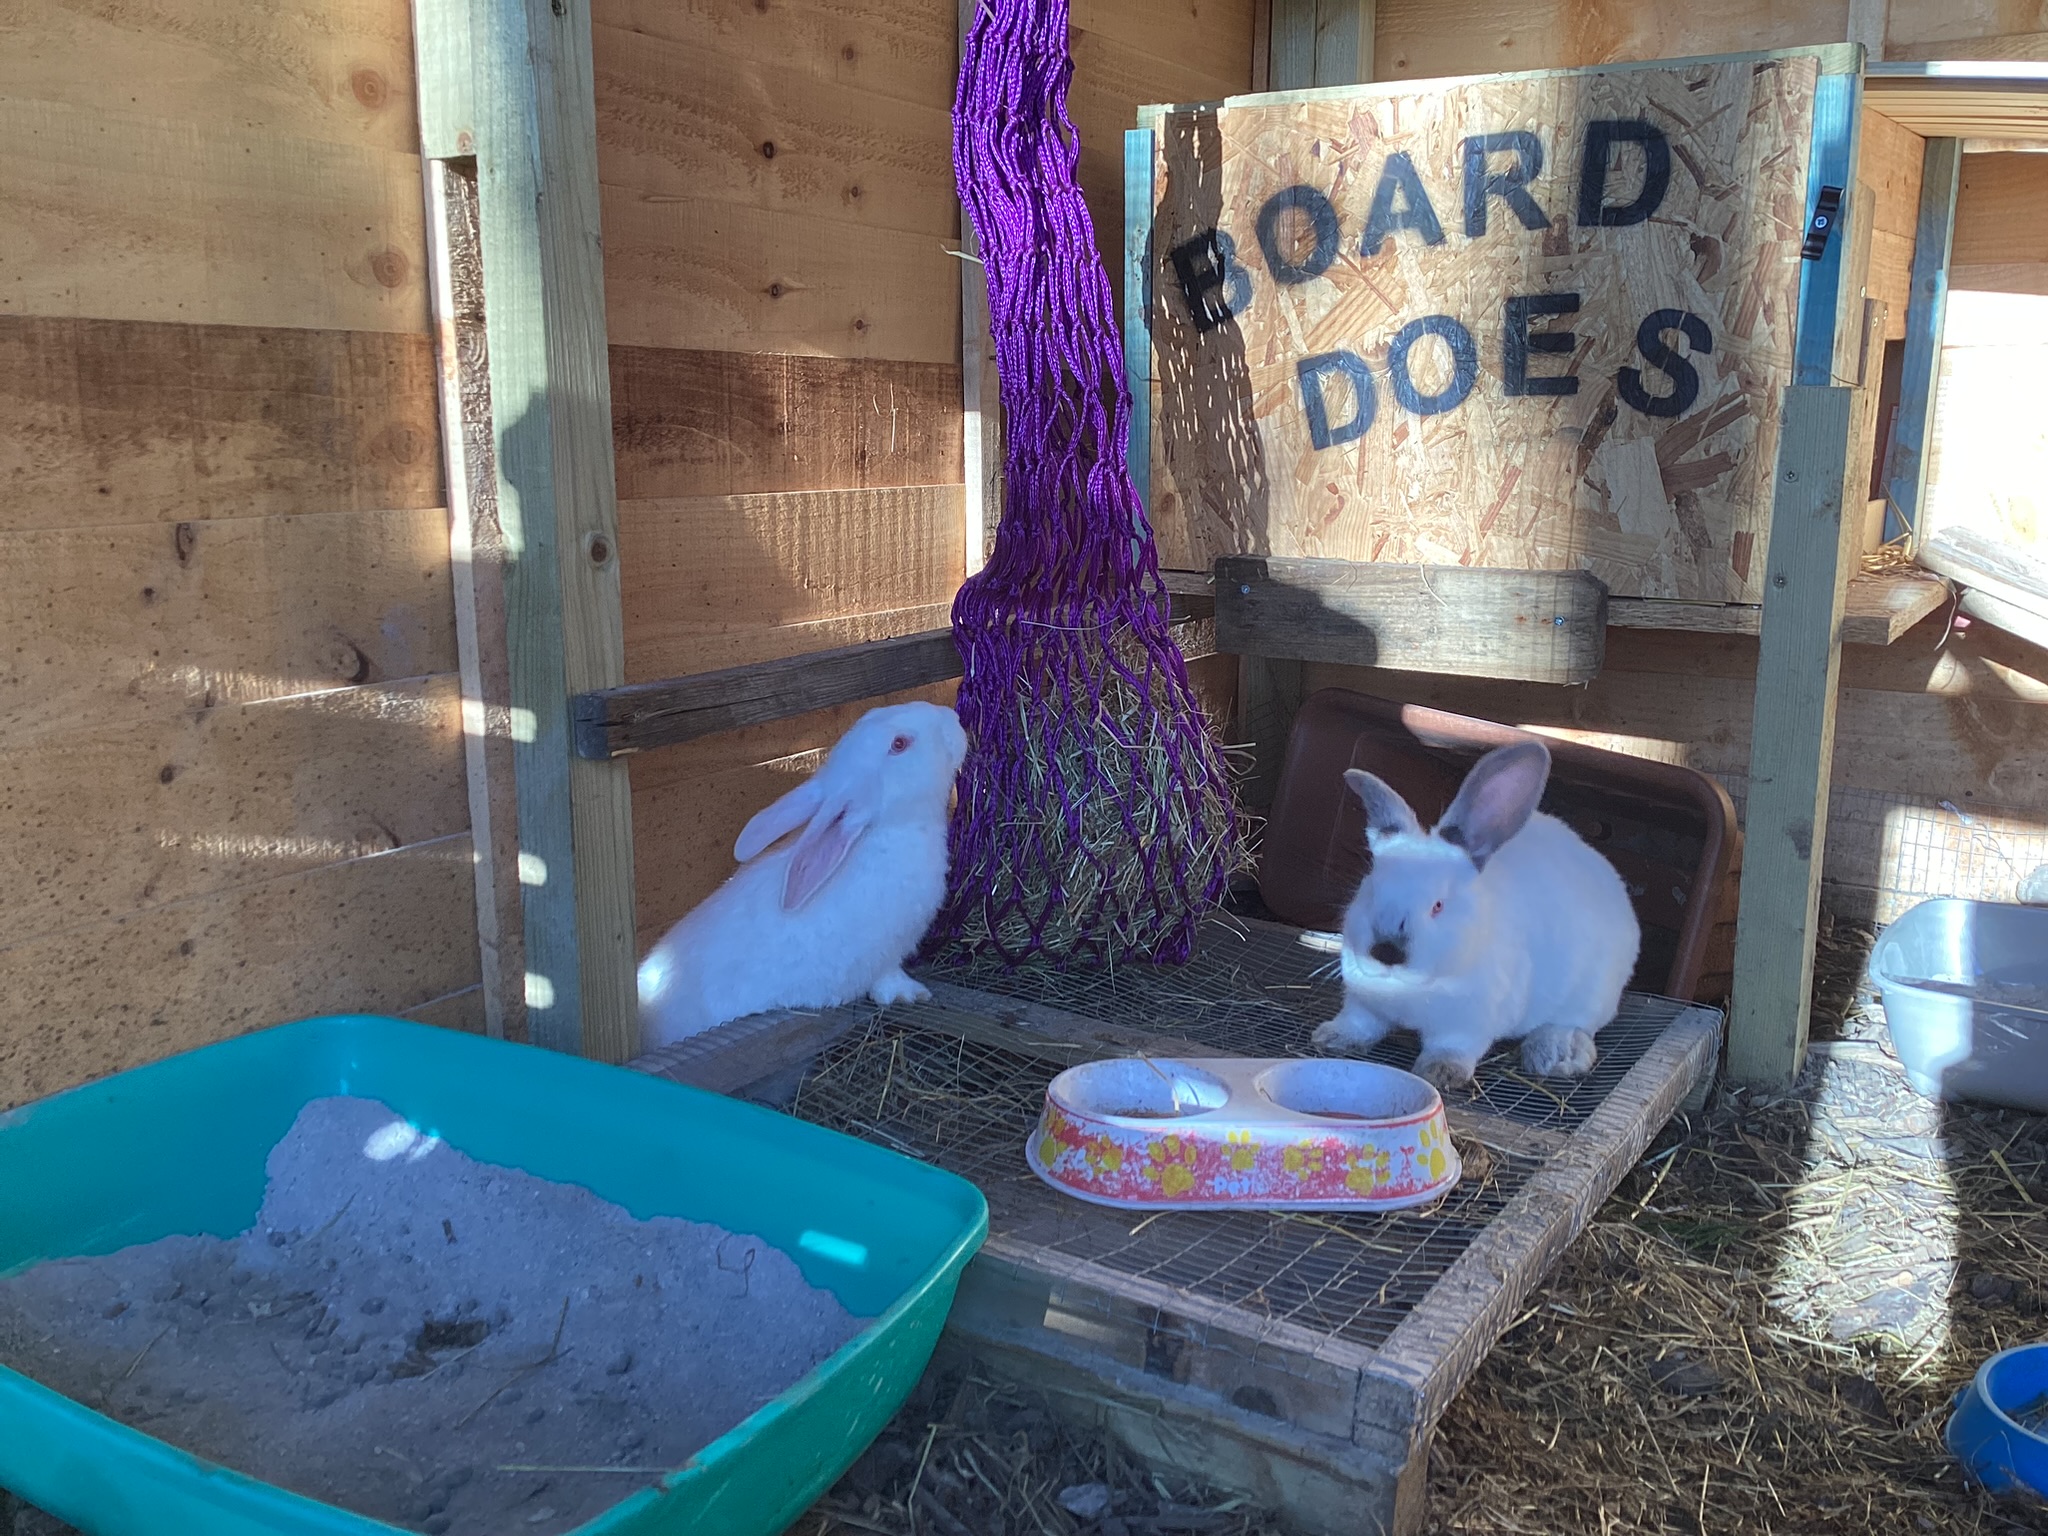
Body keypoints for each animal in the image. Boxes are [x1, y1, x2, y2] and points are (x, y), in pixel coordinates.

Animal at [637, 700, 969, 1052]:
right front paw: (914, 993)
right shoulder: (886, 955)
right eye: (899, 744)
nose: (953, 717)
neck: (885, 834)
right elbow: (888, 981)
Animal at [1309, 738, 1640, 1091]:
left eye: (1438, 906)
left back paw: (1553, 1053)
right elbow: (1360, 1023)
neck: (1408, 988)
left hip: (1591, 995)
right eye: (1371, 887)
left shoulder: (1469, 1024)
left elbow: (1452, 1047)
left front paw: (1441, 1072)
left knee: (1574, 1023)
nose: (1386, 951)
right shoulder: (1363, 1003)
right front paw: (1332, 1037)